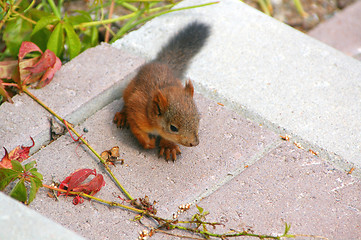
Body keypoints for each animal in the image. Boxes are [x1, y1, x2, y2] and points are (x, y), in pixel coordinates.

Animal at [114, 22, 210, 161]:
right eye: (173, 128)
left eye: (198, 118)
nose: (194, 143)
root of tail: (162, 63)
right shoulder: (137, 110)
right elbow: (137, 129)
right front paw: (149, 143)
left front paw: (169, 146)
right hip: (128, 91)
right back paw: (122, 115)